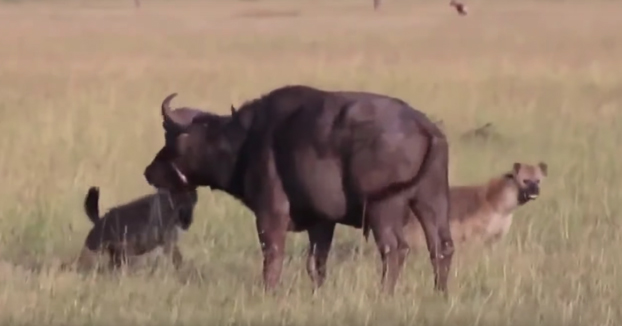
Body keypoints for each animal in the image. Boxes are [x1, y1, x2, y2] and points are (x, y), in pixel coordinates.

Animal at [146, 85, 458, 294]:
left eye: (169, 137)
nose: (149, 171)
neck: (243, 141)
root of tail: (424, 125)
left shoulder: (270, 214)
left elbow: (272, 256)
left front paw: (269, 291)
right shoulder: (322, 222)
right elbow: (316, 263)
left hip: (384, 208)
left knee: (395, 249)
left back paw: (385, 293)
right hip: (433, 200)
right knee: (441, 247)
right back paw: (440, 292)